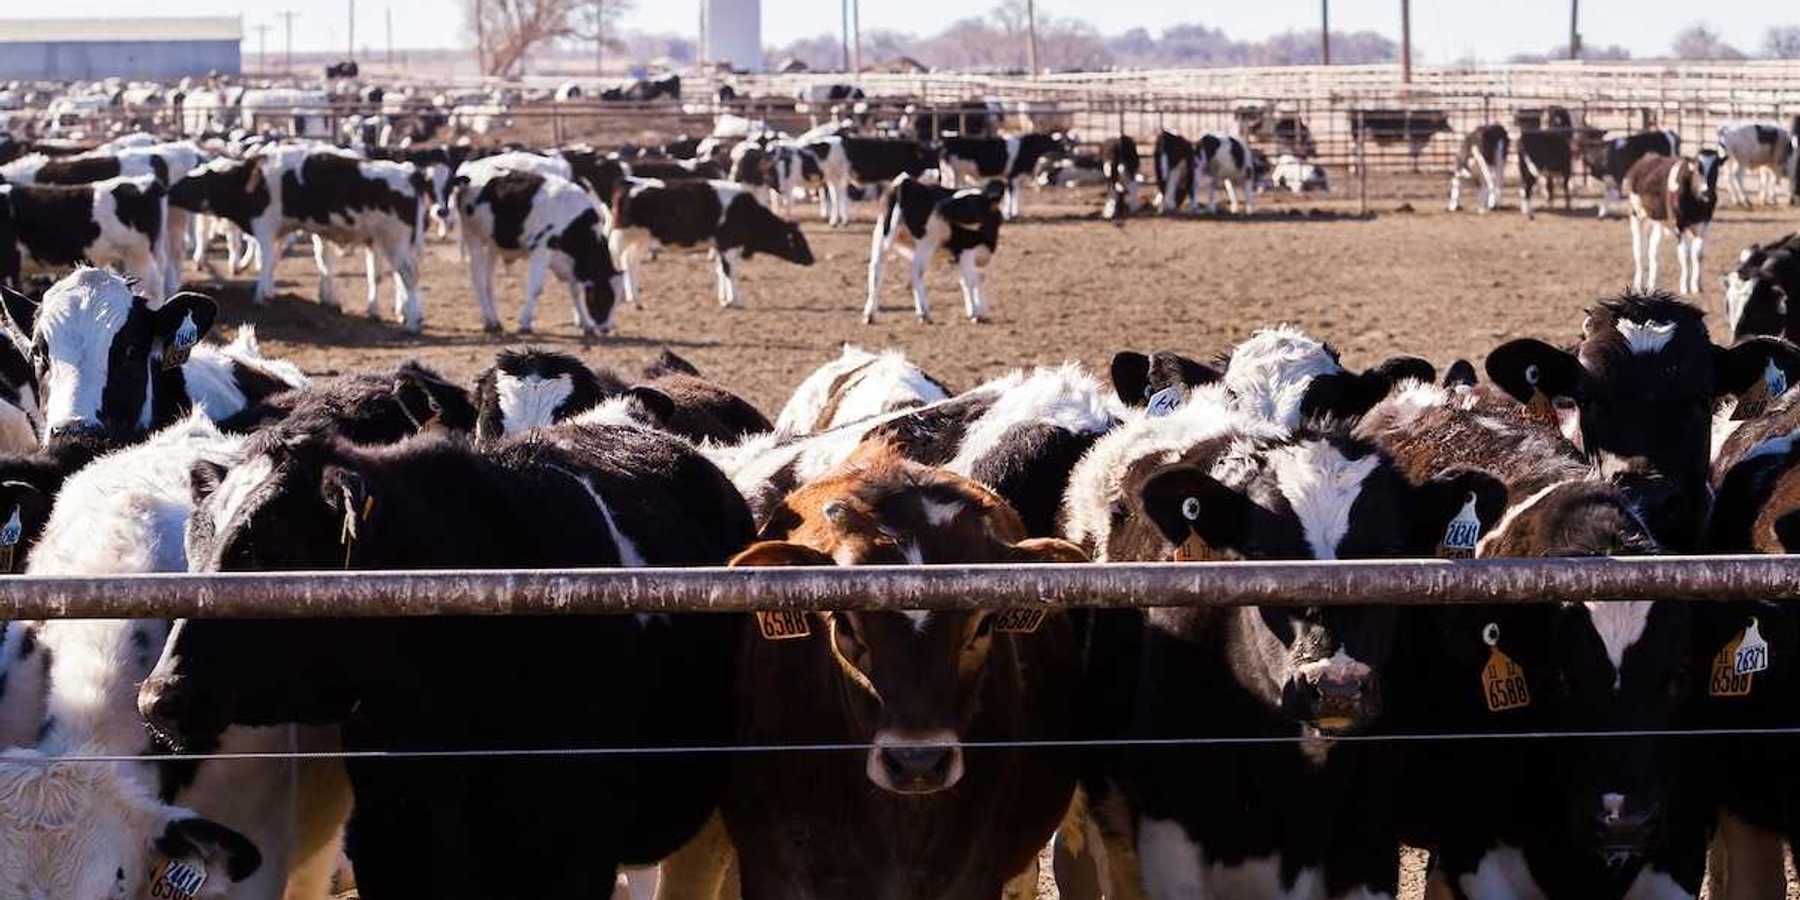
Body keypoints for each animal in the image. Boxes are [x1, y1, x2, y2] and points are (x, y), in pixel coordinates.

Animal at [167, 145, 429, 331]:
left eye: (194, 179)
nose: (169, 190)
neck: (252, 180)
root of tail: (408, 172)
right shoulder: (279, 231)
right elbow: (272, 262)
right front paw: (269, 291)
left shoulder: (264, 227)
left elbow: (265, 260)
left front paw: (260, 296)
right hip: (398, 244)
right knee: (400, 277)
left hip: (395, 242)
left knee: (409, 276)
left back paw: (412, 322)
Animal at [450, 162, 622, 336]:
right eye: (604, 296)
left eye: (617, 300)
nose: (606, 328)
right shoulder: (541, 250)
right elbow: (536, 288)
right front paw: (525, 323)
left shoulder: (572, 263)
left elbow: (575, 290)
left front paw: (586, 325)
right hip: (473, 238)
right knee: (478, 280)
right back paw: (490, 322)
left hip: (493, 245)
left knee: (488, 283)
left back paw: (494, 321)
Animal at [608, 178, 814, 309]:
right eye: (798, 240)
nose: (812, 260)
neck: (745, 211)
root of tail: (628, 184)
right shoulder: (728, 246)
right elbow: (730, 272)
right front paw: (734, 300)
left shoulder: (721, 247)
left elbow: (721, 270)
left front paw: (724, 299)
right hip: (621, 236)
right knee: (618, 261)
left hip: (638, 240)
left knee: (630, 263)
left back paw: (635, 299)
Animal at [865, 175, 1002, 325]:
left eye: (970, 203)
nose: (941, 205)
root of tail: (906, 183)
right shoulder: (965, 251)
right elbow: (970, 281)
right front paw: (975, 313)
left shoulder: (957, 257)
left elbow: (974, 279)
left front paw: (981, 311)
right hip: (926, 244)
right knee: (916, 273)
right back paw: (924, 314)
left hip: (881, 236)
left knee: (876, 270)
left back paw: (869, 315)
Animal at [1626, 151, 1722, 296]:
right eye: (1696, 169)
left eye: (1715, 169)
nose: (1706, 191)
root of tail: (1646, 158)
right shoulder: (1679, 226)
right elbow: (1684, 255)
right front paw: (1684, 287)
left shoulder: (1702, 226)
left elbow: (1697, 255)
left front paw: (1696, 286)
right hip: (1636, 216)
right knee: (1638, 250)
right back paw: (1637, 285)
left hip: (1658, 222)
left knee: (1652, 252)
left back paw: (1651, 285)